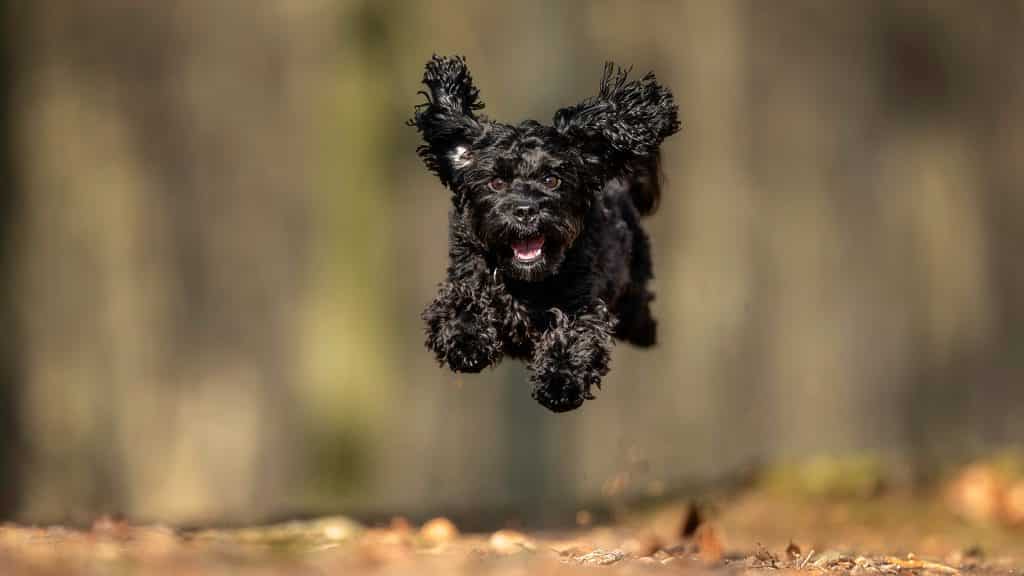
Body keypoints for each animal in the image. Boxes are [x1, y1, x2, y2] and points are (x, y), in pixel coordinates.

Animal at [407, 53, 679, 409]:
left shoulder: (583, 299)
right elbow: (461, 303)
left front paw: (560, 380)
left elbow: (577, 335)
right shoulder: (464, 274)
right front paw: (466, 340)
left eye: (552, 180)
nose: (525, 210)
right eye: (496, 182)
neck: (526, 283)